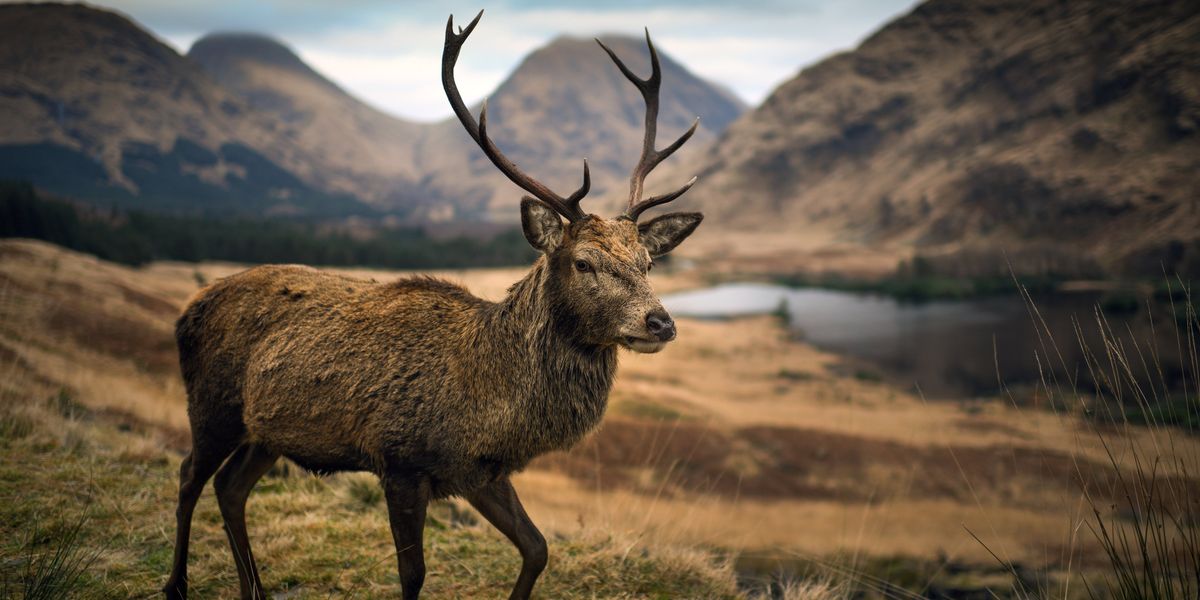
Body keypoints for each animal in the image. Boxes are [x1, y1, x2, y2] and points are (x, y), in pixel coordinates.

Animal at [163, 10, 702, 600]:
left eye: (648, 262)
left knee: (230, 487)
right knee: (189, 475)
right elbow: (414, 572)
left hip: (267, 432)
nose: (661, 322)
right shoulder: (399, 461)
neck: (486, 405)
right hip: (212, 404)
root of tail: (189, 309)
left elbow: (537, 548)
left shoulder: (481, 472)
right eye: (584, 263)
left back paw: (251, 588)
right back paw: (176, 584)